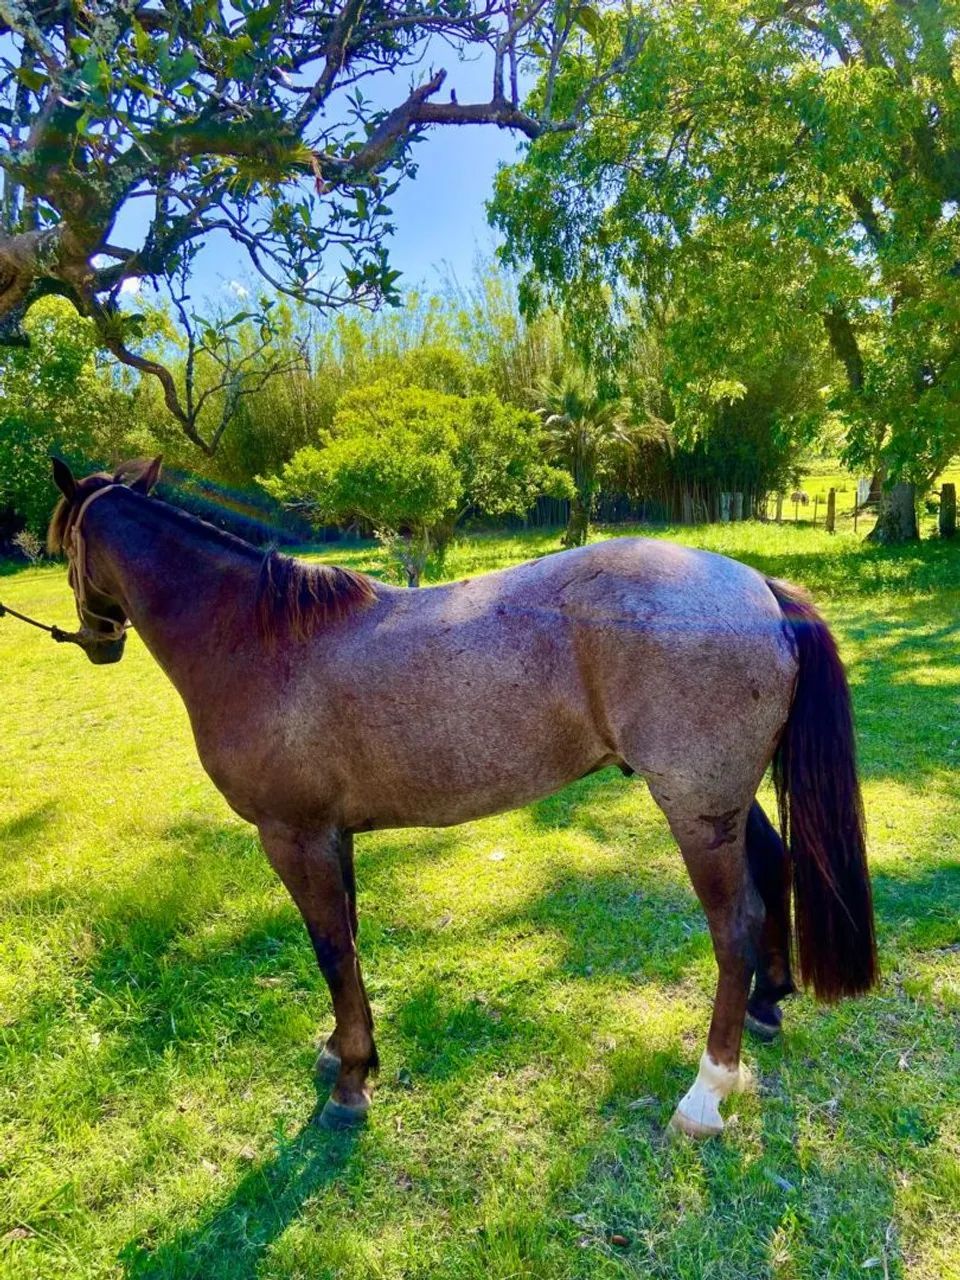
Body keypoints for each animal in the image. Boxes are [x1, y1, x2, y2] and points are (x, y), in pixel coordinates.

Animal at [47, 457, 877, 1134]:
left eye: (63, 550)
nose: (96, 641)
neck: (258, 640)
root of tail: (756, 587)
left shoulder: (293, 836)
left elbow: (329, 949)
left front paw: (351, 1081)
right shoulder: (332, 837)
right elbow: (348, 940)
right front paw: (347, 1051)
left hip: (695, 811)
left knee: (734, 928)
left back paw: (707, 1092)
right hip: (724, 800)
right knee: (775, 870)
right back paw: (767, 1007)